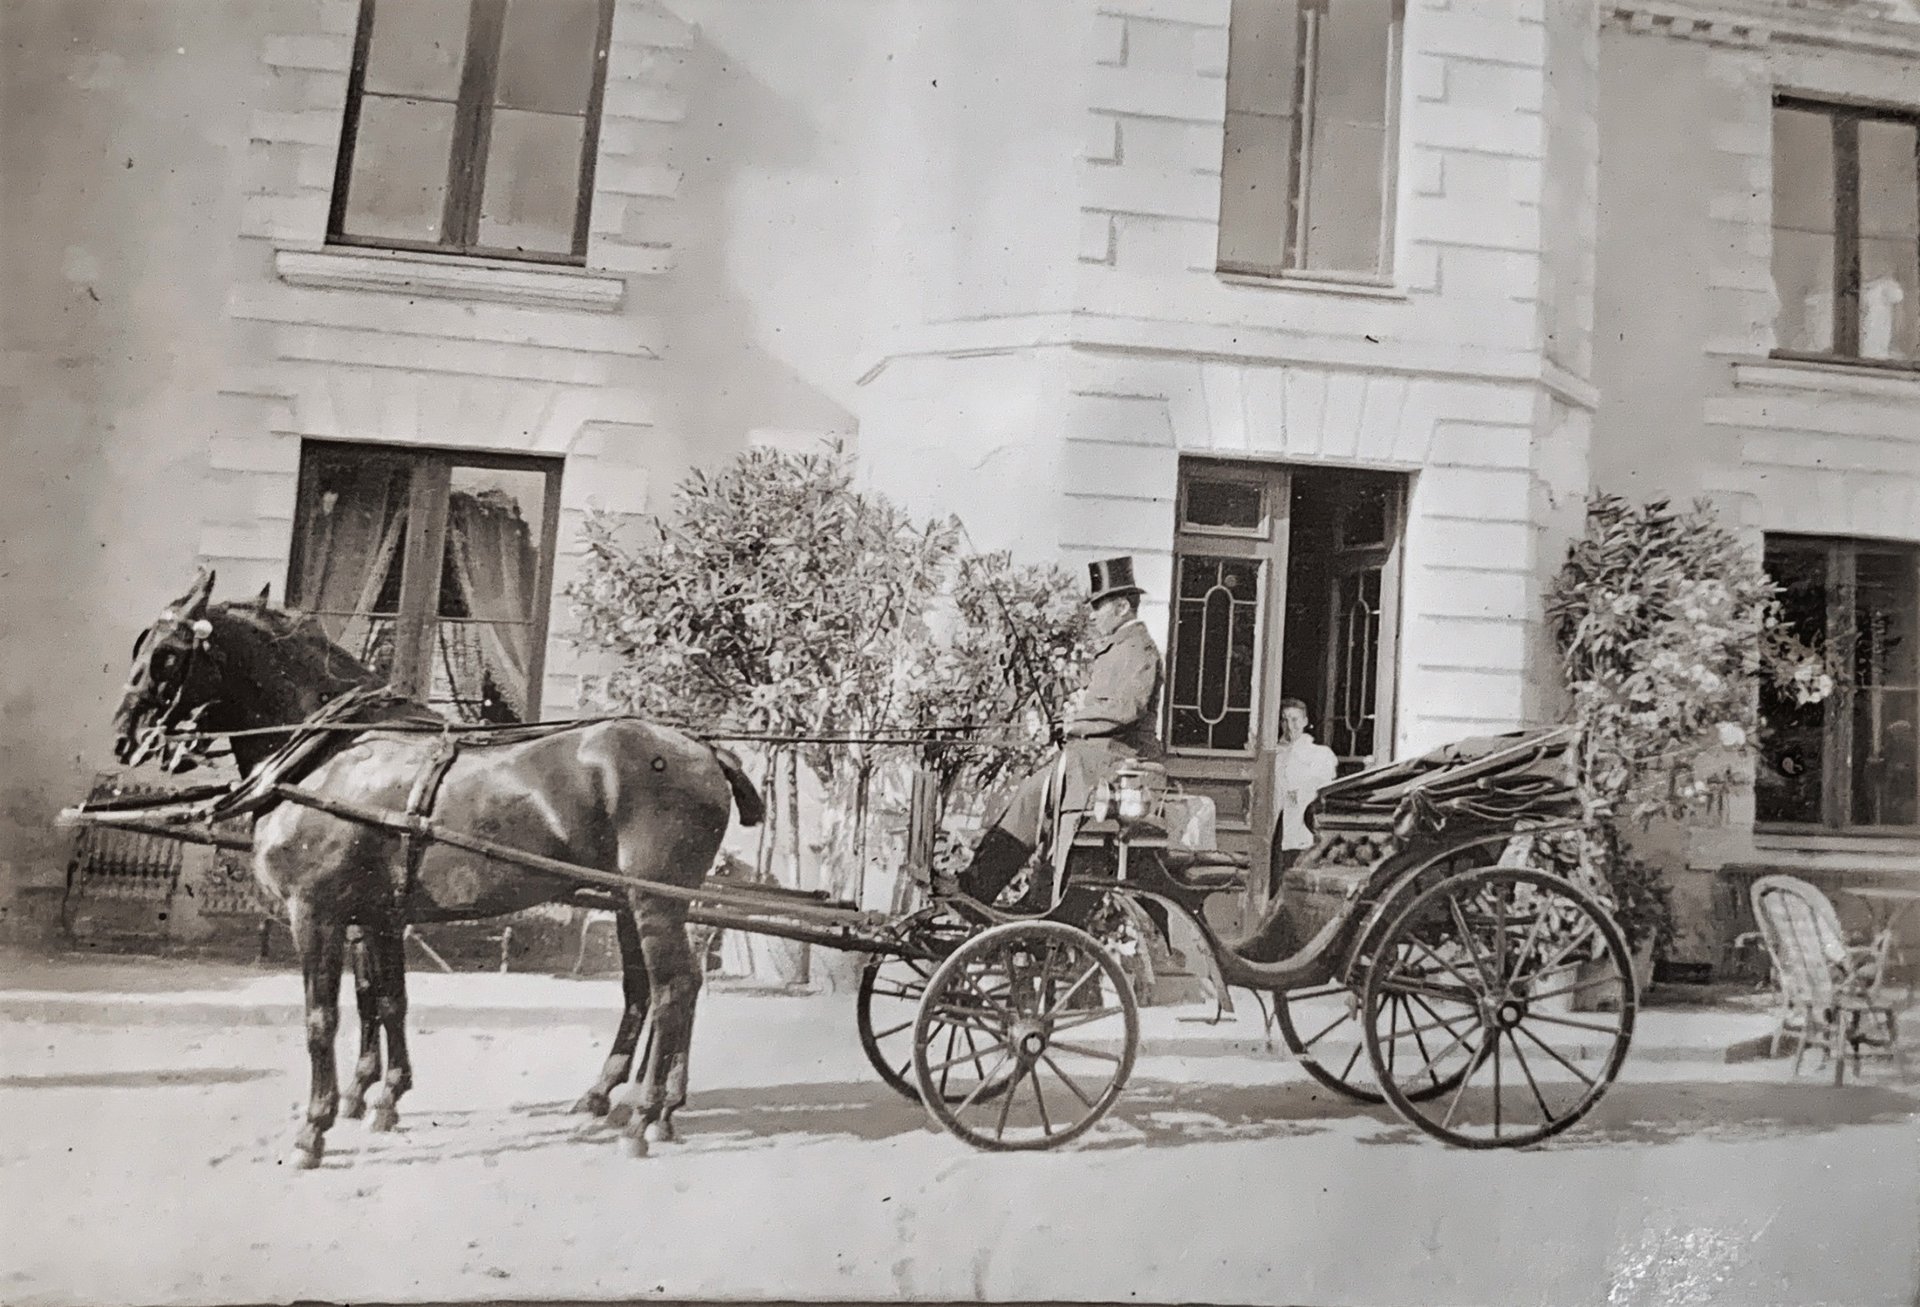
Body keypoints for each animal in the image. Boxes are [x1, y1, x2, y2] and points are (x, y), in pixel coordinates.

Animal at [108, 568, 760, 1159]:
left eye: (167, 655)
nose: (125, 737)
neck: (335, 753)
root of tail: (702, 748)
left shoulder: (316, 914)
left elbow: (323, 1017)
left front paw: (317, 1126)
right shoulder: (377, 916)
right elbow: (385, 998)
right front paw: (381, 1097)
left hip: (653, 900)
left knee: (673, 988)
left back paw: (645, 1116)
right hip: (630, 900)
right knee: (646, 989)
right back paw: (634, 1102)